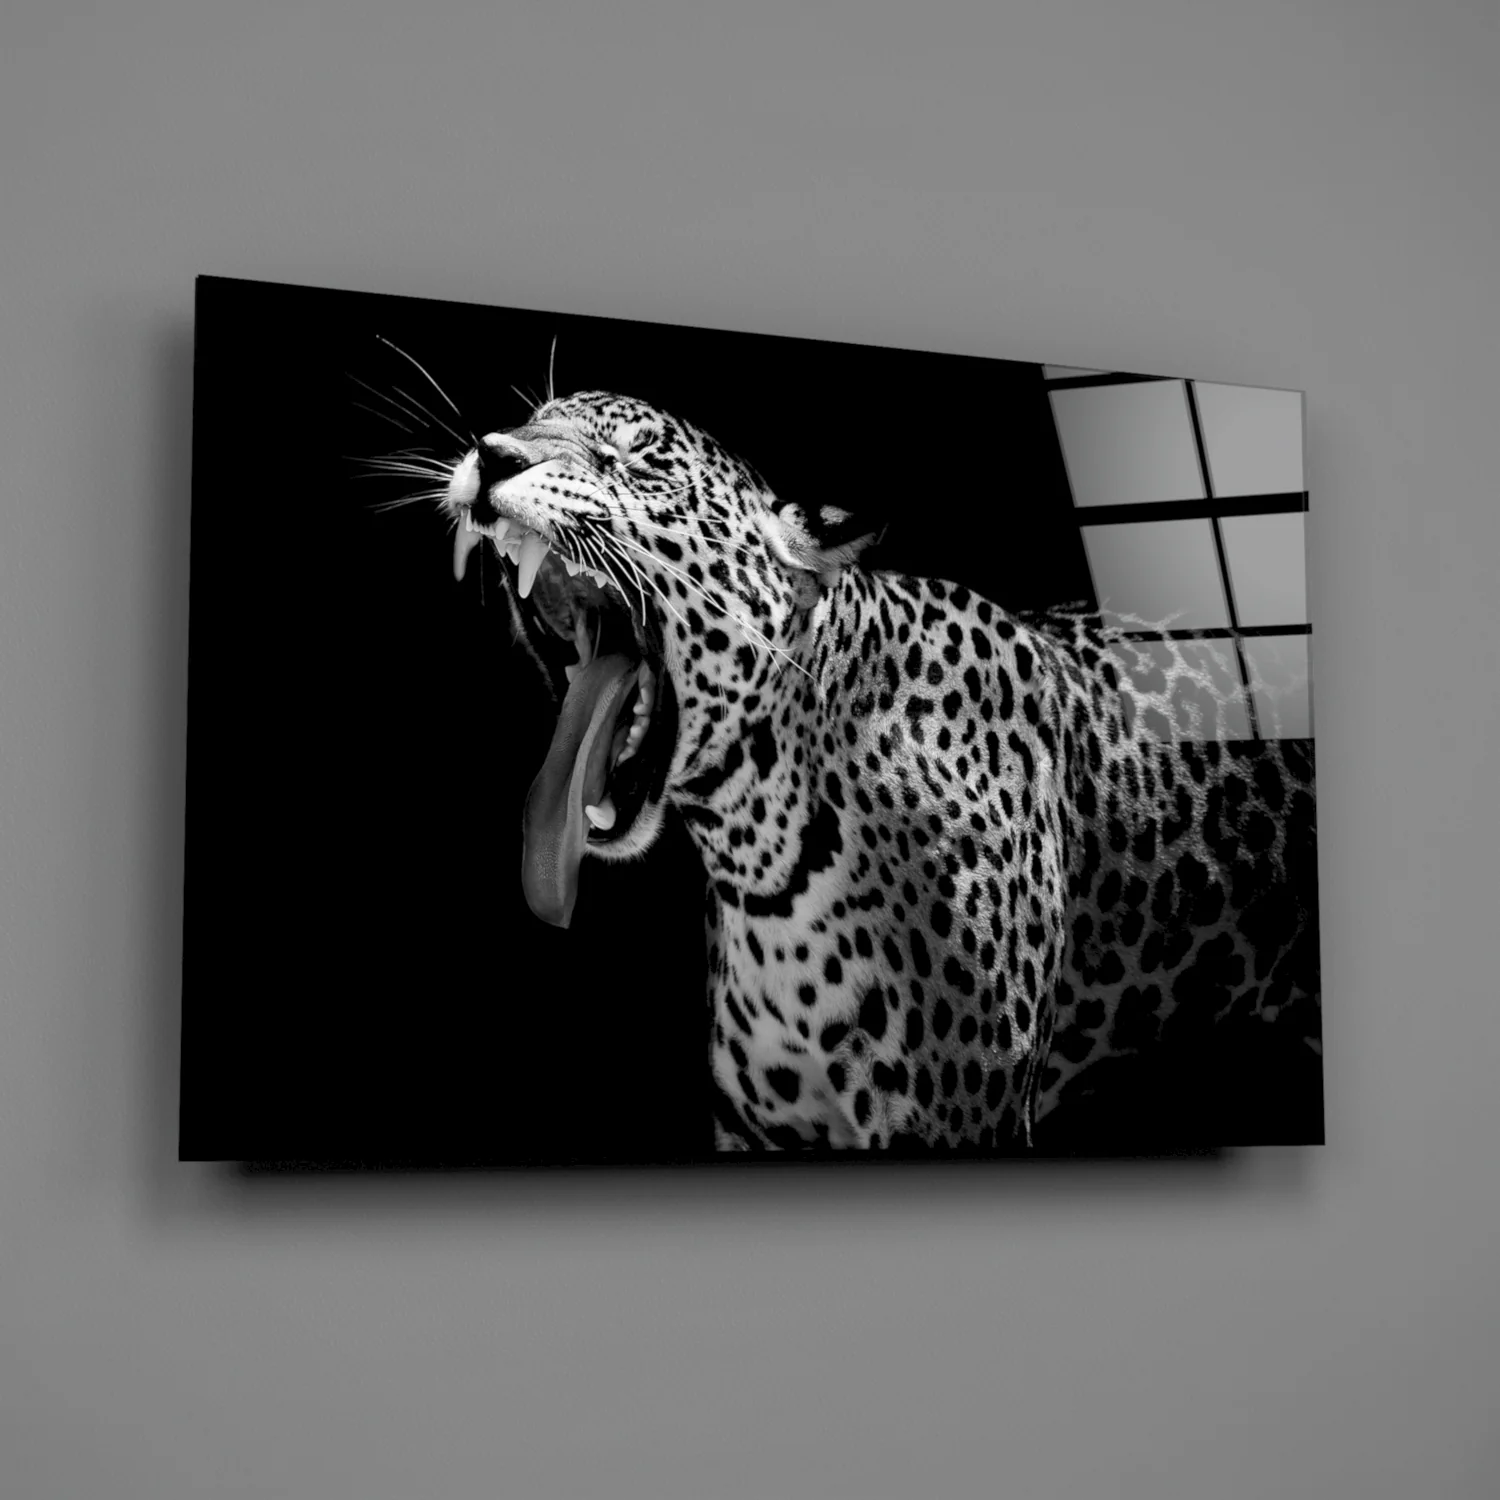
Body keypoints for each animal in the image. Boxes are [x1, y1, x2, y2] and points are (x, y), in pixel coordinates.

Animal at [423, 389, 1319, 1151]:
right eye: (531, 420)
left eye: (638, 461)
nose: (493, 454)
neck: (764, 856)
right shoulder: (762, 1131)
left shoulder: (961, 1118)